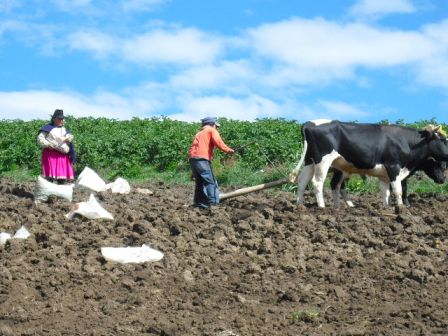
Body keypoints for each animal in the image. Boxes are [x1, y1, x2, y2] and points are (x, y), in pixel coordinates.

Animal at [290, 118, 448, 207]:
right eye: (442, 139)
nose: (442, 180)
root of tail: (310, 124)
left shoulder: (384, 175)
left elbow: (385, 193)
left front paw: (387, 208)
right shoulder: (393, 167)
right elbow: (398, 190)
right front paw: (401, 208)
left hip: (310, 160)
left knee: (303, 181)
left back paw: (300, 205)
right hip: (323, 161)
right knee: (317, 183)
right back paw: (322, 207)